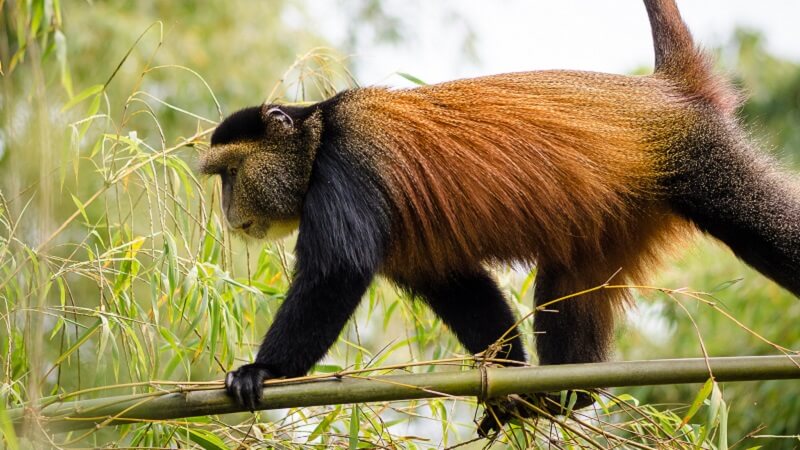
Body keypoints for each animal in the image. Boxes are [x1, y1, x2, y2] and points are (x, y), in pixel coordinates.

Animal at [199, 0, 800, 435]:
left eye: (229, 174)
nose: (227, 211)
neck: (317, 135)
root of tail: (667, 90)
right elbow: (456, 285)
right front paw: (506, 378)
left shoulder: (348, 167)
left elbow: (336, 272)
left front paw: (263, 372)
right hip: (617, 220)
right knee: (570, 295)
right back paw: (563, 395)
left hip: (701, 160)